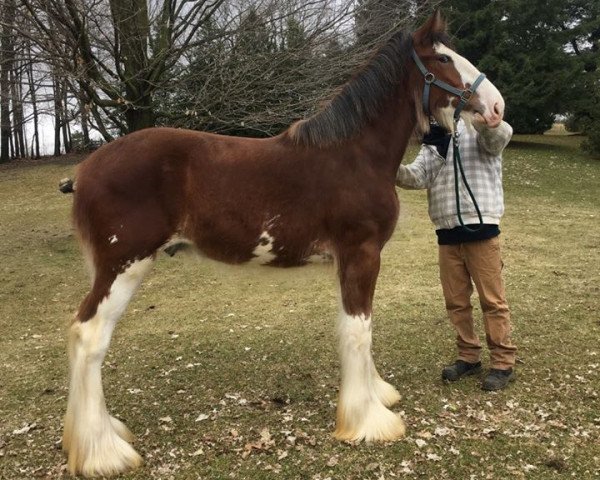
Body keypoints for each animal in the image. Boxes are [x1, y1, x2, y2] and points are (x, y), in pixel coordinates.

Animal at [63, 10, 504, 476]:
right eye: (443, 58)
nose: (496, 108)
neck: (355, 155)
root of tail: (86, 171)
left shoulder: (348, 261)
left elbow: (355, 324)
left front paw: (377, 394)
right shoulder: (361, 253)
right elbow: (358, 330)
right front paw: (369, 421)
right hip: (124, 265)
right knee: (90, 338)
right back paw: (103, 452)